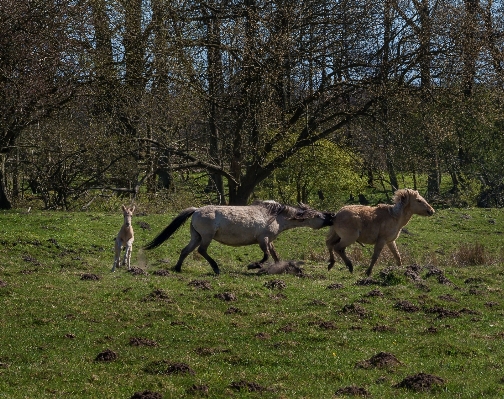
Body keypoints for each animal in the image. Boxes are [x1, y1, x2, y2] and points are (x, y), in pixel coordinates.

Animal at [144, 200, 332, 276]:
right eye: (318, 215)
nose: (331, 216)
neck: (275, 217)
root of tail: (196, 210)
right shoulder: (263, 239)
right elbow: (266, 256)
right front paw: (254, 266)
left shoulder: (269, 241)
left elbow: (275, 256)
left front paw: (283, 268)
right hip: (206, 237)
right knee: (202, 251)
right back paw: (216, 268)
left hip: (196, 236)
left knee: (186, 251)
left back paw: (177, 268)